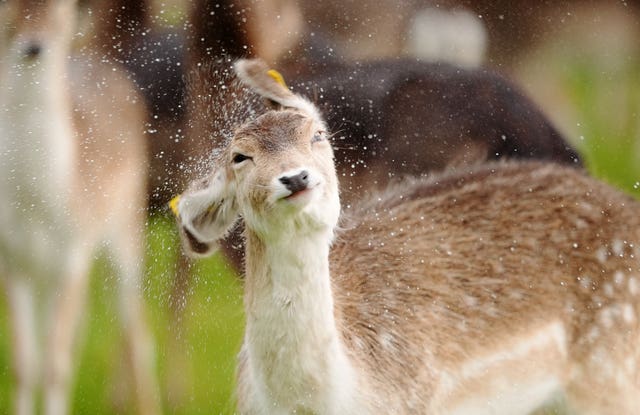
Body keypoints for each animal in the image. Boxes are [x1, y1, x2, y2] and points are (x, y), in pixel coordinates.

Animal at [0, 0, 161, 414]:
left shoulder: (72, 255)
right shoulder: (13, 262)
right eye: (10, 7)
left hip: (128, 230)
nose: (34, 46)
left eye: (58, 7)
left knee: (134, 328)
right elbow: (25, 363)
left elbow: (55, 366)